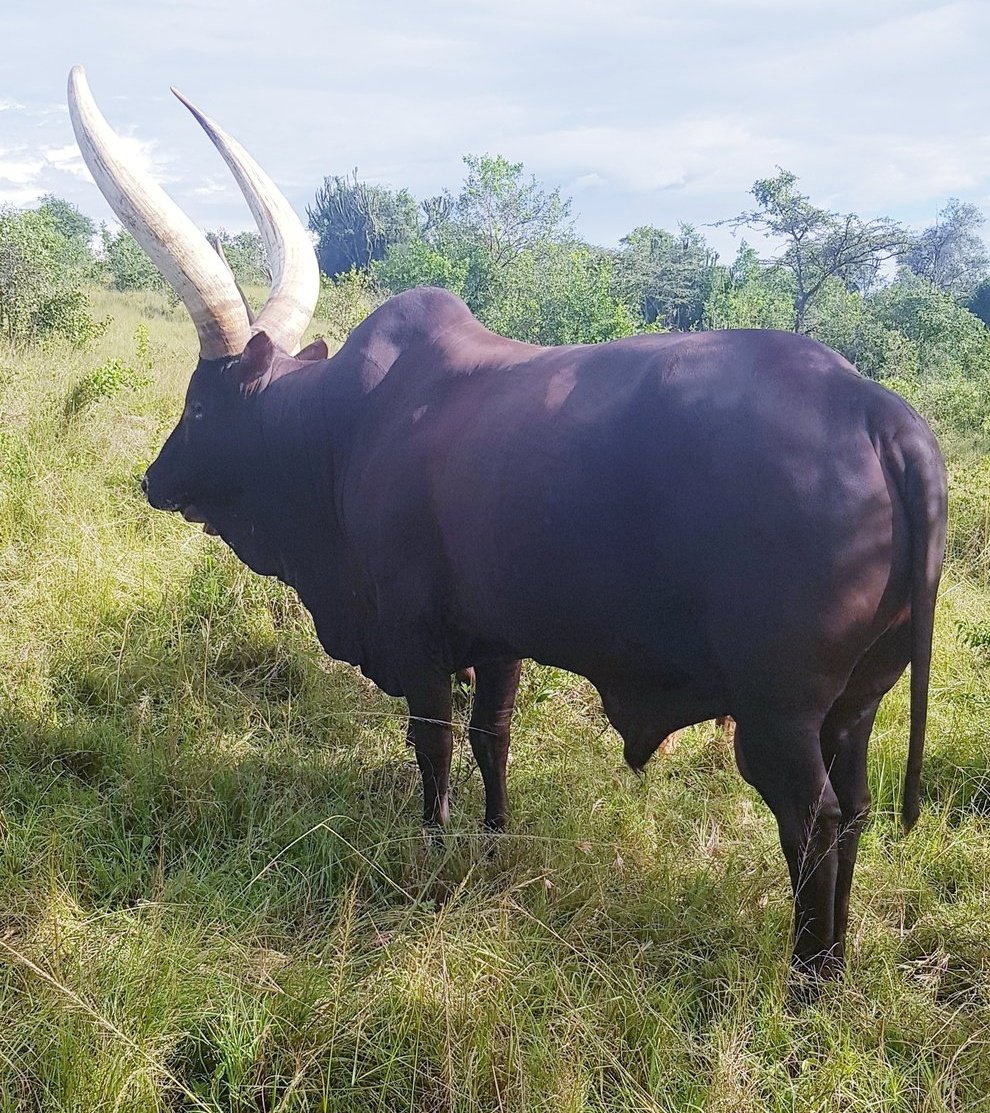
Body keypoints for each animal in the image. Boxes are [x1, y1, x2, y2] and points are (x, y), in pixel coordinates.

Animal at [69, 66, 947, 995]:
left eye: (201, 404)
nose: (155, 478)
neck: (345, 427)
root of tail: (879, 414)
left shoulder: (416, 637)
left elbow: (434, 745)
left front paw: (432, 848)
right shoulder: (497, 641)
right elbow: (494, 737)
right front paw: (493, 842)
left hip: (778, 715)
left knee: (812, 819)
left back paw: (808, 980)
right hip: (858, 701)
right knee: (855, 811)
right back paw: (837, 965)